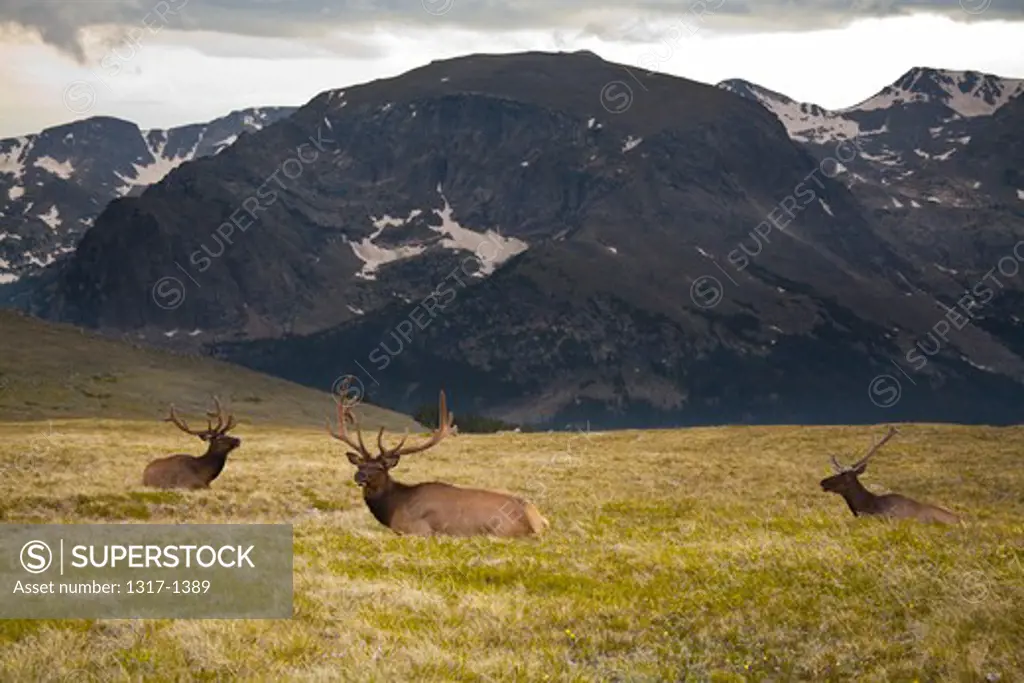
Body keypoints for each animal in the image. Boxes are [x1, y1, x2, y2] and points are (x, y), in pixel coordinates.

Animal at [327, 382, 552, 536]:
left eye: (380, 468)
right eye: (361, 464)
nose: (359, 476)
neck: (392, 508)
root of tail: (535, 521)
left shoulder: (418, 529)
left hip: (499, 528)